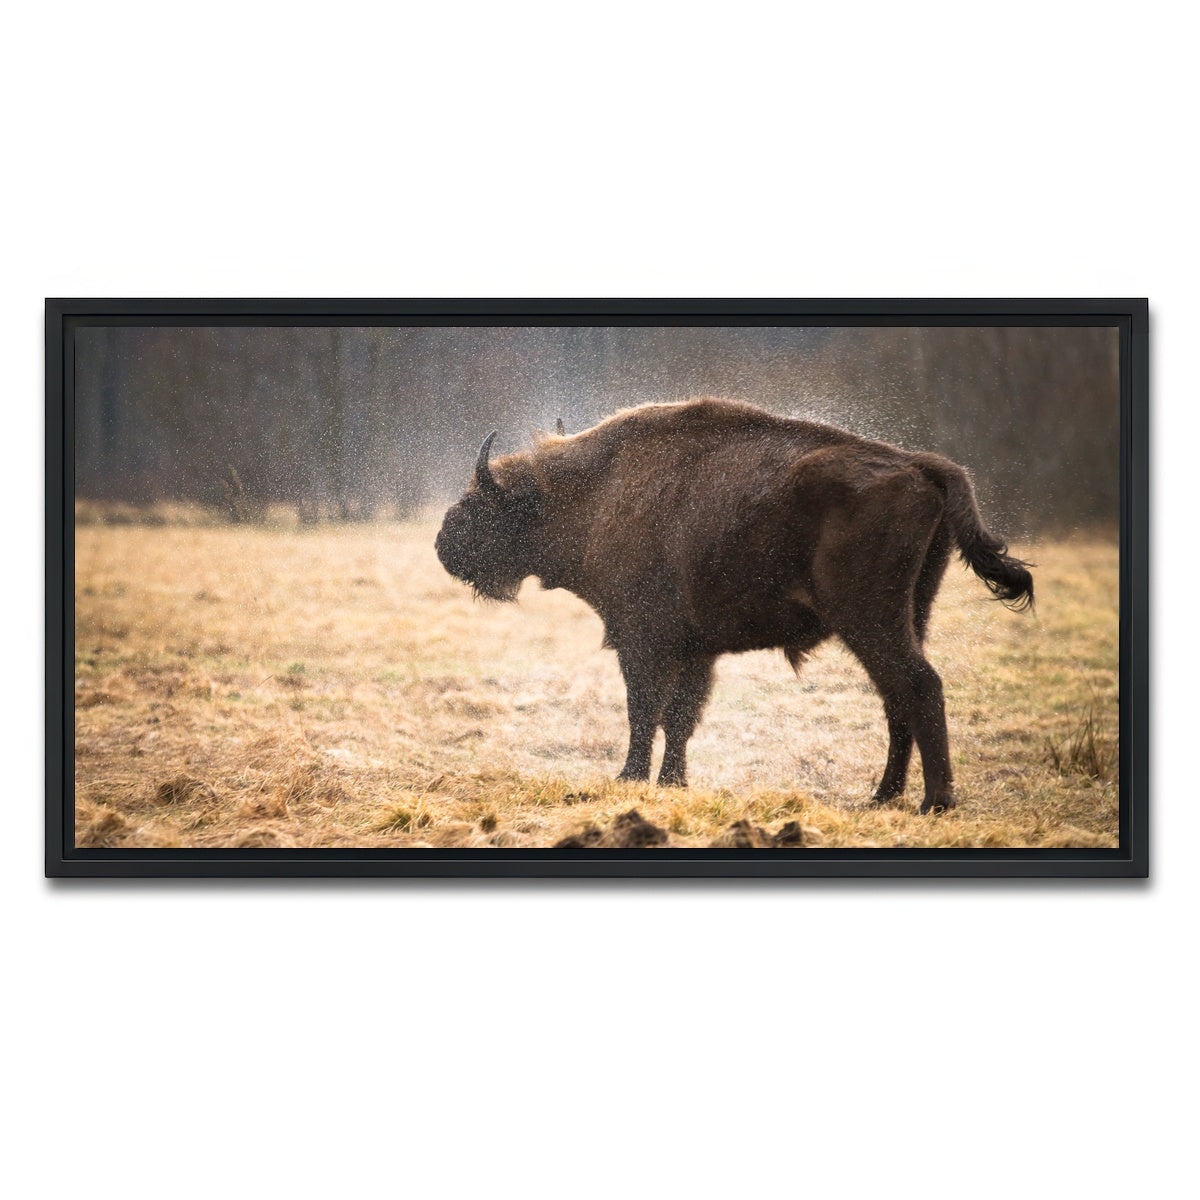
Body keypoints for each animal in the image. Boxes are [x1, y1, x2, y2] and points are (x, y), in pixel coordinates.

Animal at [435, 398, 1033, 813]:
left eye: (481, 501)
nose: (443, 543)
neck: (594, 490)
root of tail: (919, 465)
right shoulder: (696, 650)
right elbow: (680, 717)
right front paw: (673, 783)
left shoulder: (643, 640)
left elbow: (645, 710)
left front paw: (629, 779)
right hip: (912, 612)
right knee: (896, 697)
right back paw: (882, 797)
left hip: (869, 619)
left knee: (918, 685)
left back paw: (934, 802)